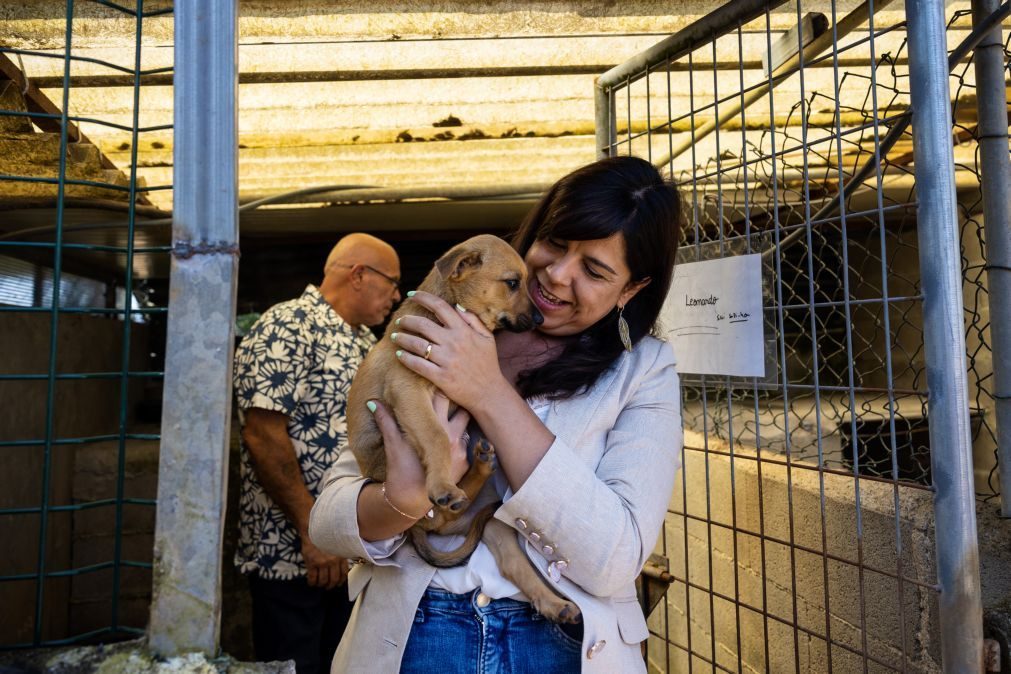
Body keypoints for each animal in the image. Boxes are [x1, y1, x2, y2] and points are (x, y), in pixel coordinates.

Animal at [347, 234, 582, 626]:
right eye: (513, 283)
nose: (539, 318)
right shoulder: (408, 388)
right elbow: (438, 436)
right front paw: (443, 483)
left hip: (495, 526)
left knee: (514, 564)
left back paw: (554, 603)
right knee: (443, 509)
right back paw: (455, 487)